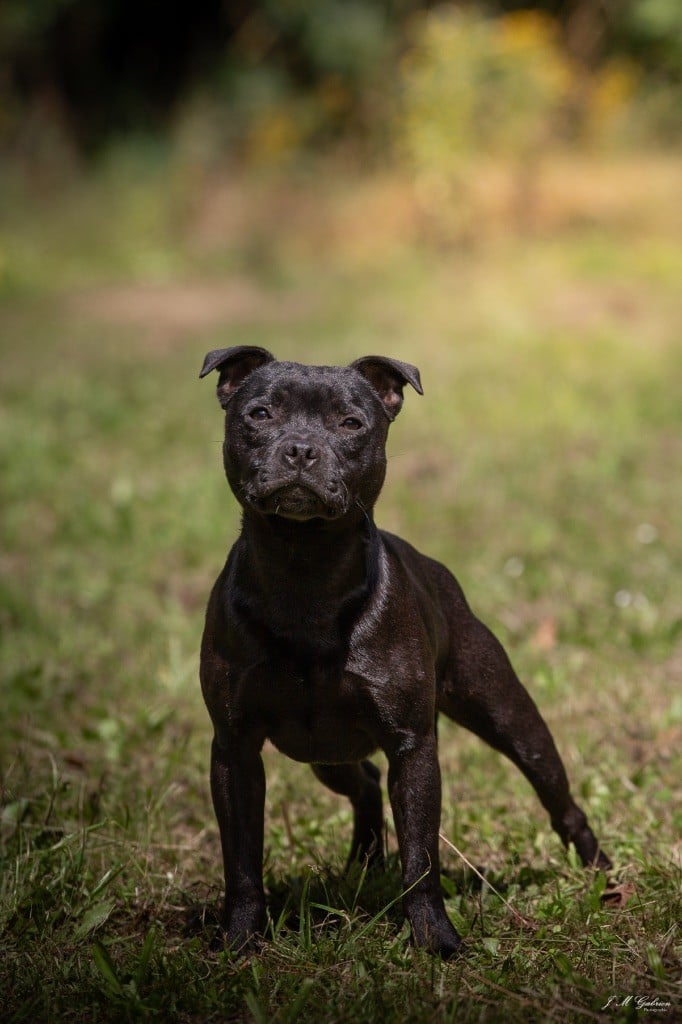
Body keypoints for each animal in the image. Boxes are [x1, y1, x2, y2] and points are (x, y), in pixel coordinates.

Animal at [199, 346, 606, 958]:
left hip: (508, 715)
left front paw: (436, 940)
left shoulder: (413, 749)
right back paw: (363, 866)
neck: (305, 571)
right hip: (322, 752)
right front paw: (240, 939)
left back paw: (601, 872)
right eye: (260, 413)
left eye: (352, 423)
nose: (301, 449)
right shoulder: (235, 749)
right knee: (365, 783)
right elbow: (241, 860)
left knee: (556, 793)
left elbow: (421, 857)